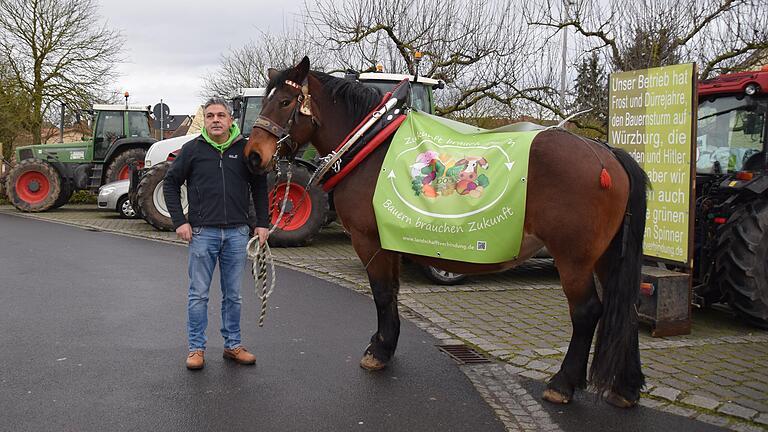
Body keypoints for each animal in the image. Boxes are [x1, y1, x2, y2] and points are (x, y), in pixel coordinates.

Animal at [244, 58, 648, 408]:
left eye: (284, 101)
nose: (253, 155)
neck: (370, 145)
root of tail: (606, 153)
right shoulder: (391, 240)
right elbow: (391, 293)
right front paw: (385, 342)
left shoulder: (369, 240)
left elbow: (381, 293)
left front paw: (379, 350)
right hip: (606, 257)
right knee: (625, 308)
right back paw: (625, 388)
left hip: (574, 259)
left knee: (586, 312)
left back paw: (563, 383)